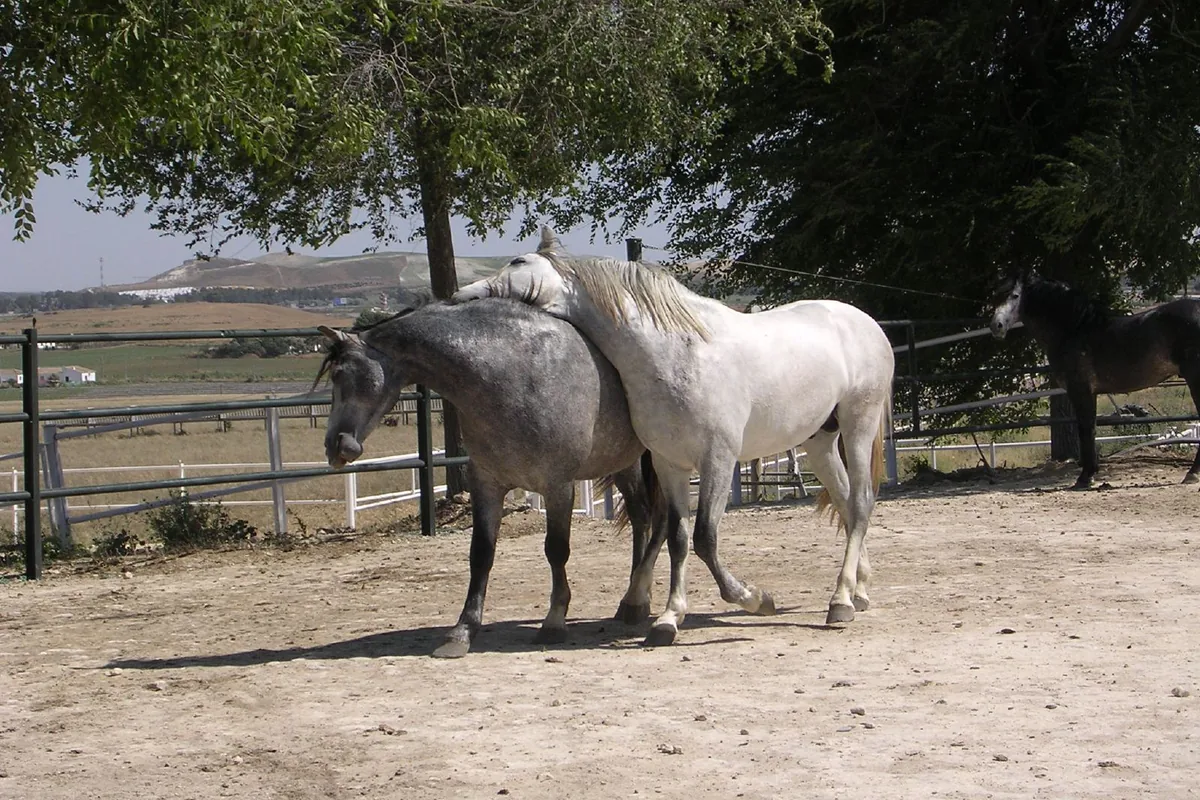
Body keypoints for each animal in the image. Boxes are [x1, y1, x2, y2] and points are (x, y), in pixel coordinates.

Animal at [314, 297, 662, 658]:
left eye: (339, 374)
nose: (335, 445)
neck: (516, 375)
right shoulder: (486, 485)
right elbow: (481, 554)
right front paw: (462, 631)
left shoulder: (558, 487)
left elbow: (556, 550)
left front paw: (553, 620)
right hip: (622, 464)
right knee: (640, 517)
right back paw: (633, 601)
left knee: (648, 518)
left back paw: (636, 602)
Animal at [453, 227, 894, 644]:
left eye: (518, 261)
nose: (460, 295)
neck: (679, 354)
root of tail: (867, 323)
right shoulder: (670, 464)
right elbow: (679, 539)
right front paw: (667, 619)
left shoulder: (717, 461)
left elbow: (704, 539)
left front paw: (755, 599)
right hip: (819, 441)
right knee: (845, 501)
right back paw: (858, 591)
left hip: (858, 424)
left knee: (860, 504)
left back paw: (840, 602)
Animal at [990, 273, 1200, 488]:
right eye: (994, 296)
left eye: (1015, 296)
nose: (996, 326)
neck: (1073, 329)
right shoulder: (1090, 393)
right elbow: (1091, 429)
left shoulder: (1080, 390)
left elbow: (1085, 429)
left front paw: (1085, 477)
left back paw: (1192, 474)